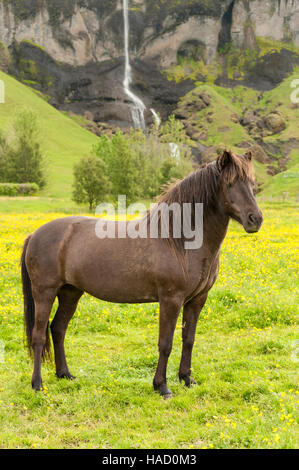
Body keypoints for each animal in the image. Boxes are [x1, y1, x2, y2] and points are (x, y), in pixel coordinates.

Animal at [21, 150, 262, 396]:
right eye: (230, 183)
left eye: (252, 184)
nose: (255, 219)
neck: (178, 240)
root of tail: (35, 234)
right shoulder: (171, 300)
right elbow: (165, 343)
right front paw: (162, 386)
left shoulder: (197, 300)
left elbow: (189, 339)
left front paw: (187, 379)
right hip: (45, 292)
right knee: (39, 336)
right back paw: (37, 384)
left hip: (70, 293)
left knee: (58, 328)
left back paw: (65, 374)